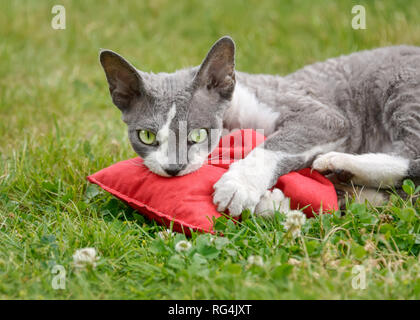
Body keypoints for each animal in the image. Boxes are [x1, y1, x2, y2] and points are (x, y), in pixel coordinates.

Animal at [101, 37, 420, 218]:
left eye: (197, 134)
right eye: (146, 136)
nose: (173, 168)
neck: (235, 122)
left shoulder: (325, 115)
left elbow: (277, 144)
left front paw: (239, 185)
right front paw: (275, 203)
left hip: (401, 85)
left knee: (412, 154)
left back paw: (340, 163)